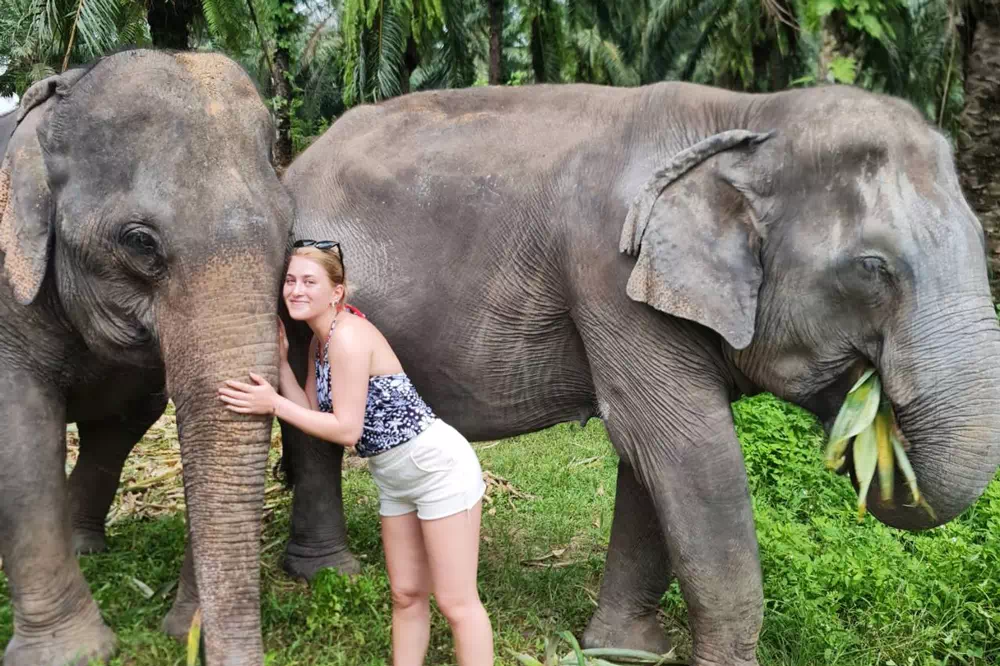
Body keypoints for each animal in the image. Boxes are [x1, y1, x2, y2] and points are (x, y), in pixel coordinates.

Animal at [0, 48, 292, 666]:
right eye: (140, 242)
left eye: (289, 237)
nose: (191, 642)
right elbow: (19, 430)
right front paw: (74, 653)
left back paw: (86, 546)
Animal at [262, 80, 1000, 666]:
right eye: (873, 268)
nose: (871, 419)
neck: (748, 114)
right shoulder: (609, 273)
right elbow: (682, 446)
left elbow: (652, 462)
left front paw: (622, 652)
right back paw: (333, 580)